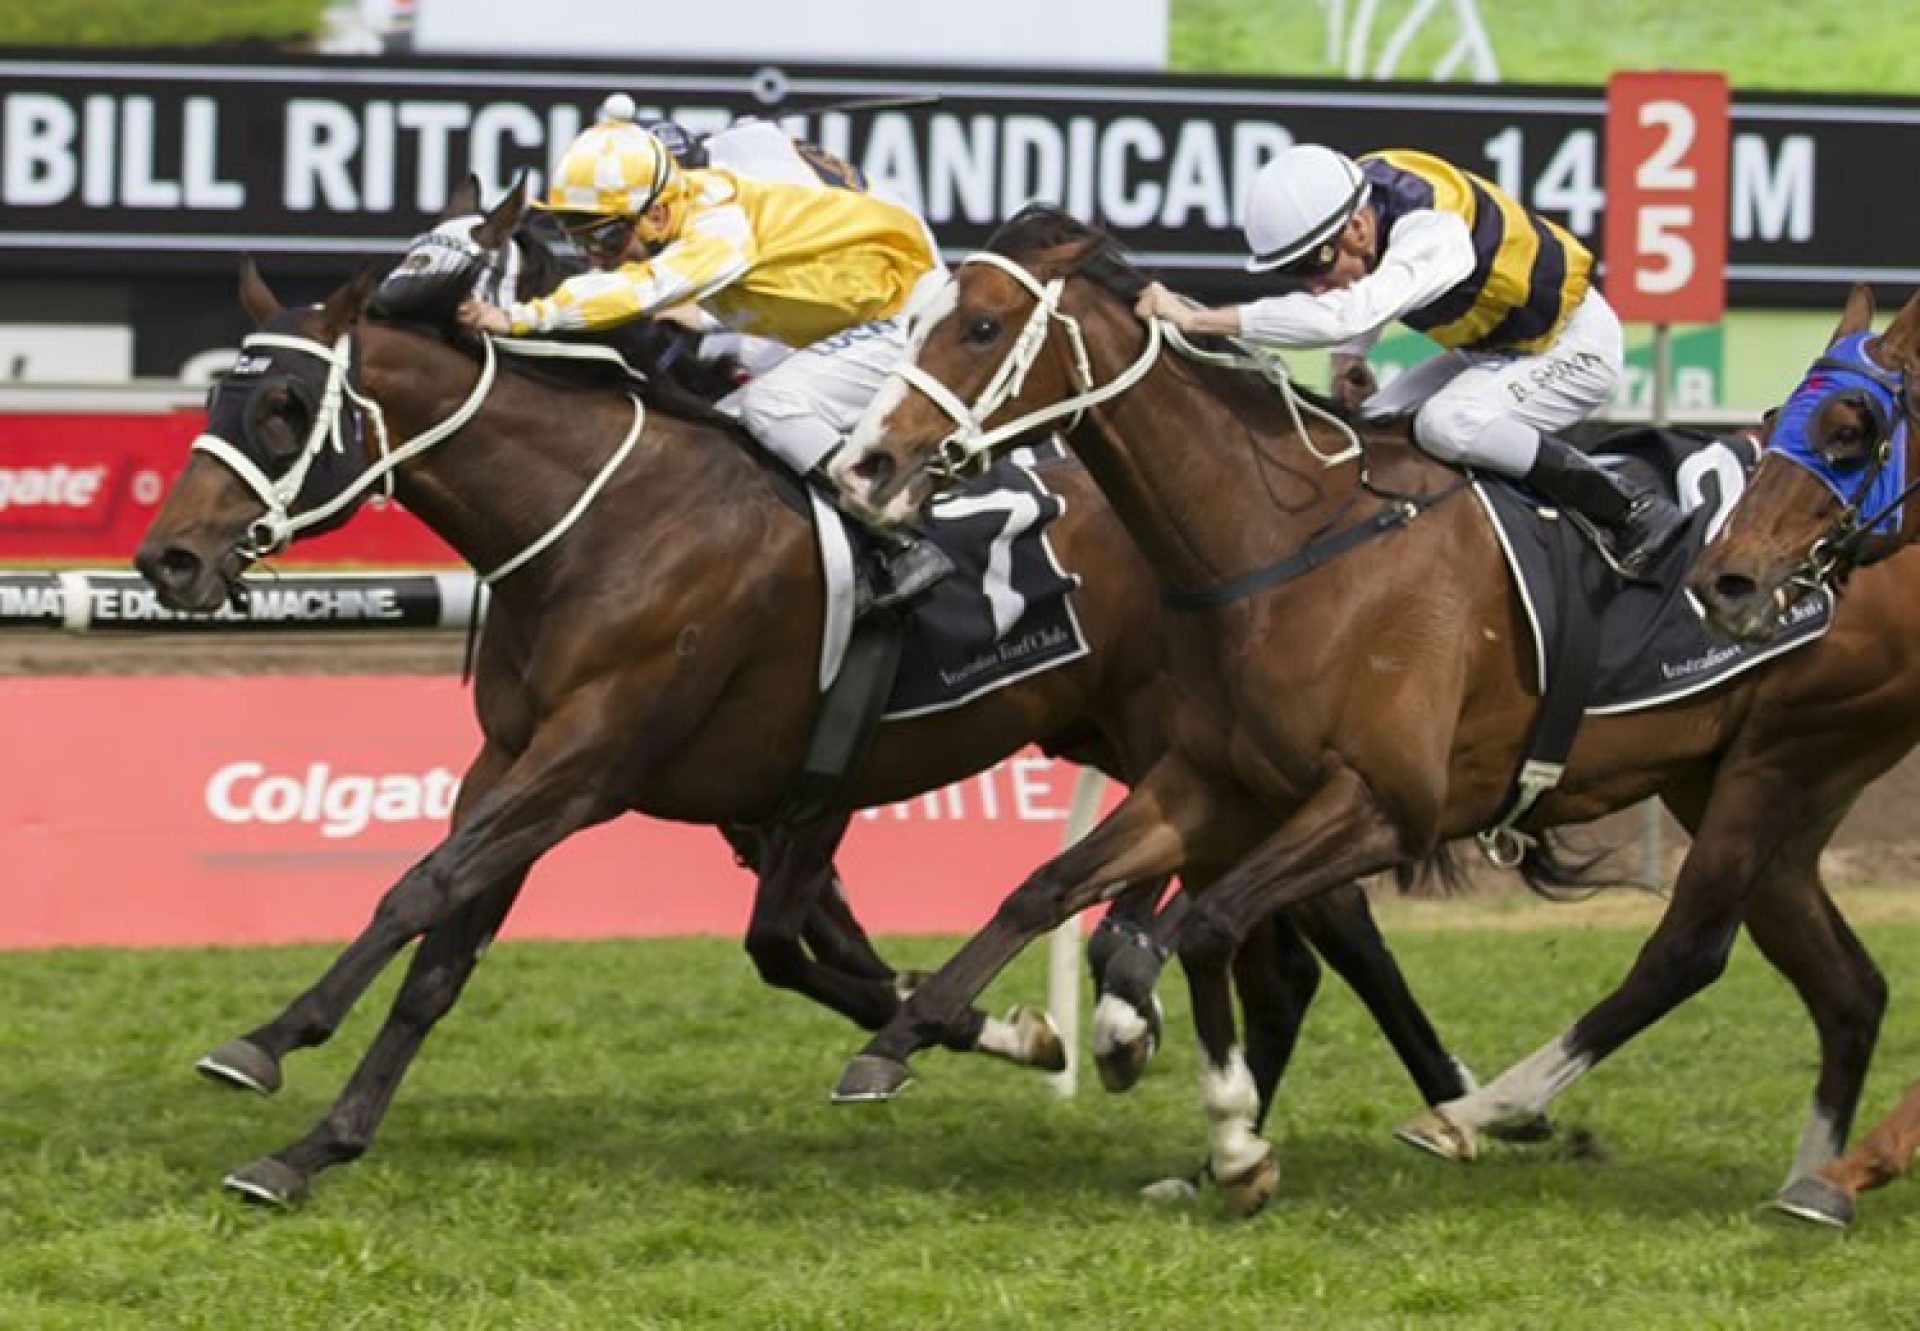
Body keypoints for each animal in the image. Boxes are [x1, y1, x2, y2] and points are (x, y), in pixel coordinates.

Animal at [821, 207, 1920, 1221]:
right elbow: (1047, 890)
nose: (863, 465)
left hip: (1785, 757)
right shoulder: (1211, 782)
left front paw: (1229, 1133)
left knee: (1685, 948)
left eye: (982, 326)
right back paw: (1815, 1182)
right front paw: (897, 1041)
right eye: (916, 319)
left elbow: (1208, 926)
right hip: (1748, 783)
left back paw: (1480, 1110)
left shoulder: (1386, 803)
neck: (1284, 542)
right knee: (1846, 986)